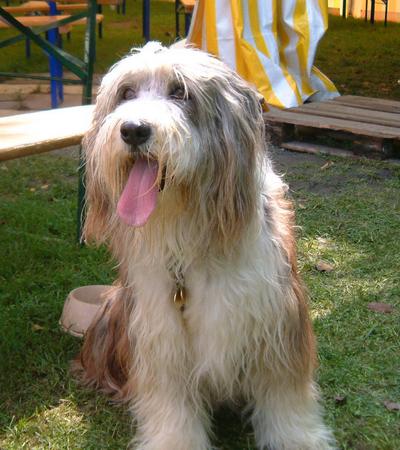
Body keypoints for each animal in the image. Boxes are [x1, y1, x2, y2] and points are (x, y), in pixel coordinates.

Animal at [74, 43, 334, 450]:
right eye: (126, 93)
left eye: (180, 92)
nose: (133, 130)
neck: (194, 235)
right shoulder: (160, 335)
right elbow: (171, 403)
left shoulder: (276, 321)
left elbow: (284, 392)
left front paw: (296, 438)